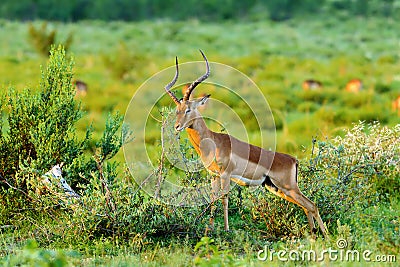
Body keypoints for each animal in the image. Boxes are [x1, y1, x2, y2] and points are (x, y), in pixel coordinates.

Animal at [163, 50, 328, 239]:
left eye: (189, 109)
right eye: (177, 110)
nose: (177, 126)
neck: (213, 142)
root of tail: (293, 160)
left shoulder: (226, 174)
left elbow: (224, 199)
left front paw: (226, 230)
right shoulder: (214, 175)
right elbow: (212, 200)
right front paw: (208, 230)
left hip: (288, 188)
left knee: (312, 205)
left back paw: (326, 237)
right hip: (277, 188)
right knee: (306, 207)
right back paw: (313, 237)